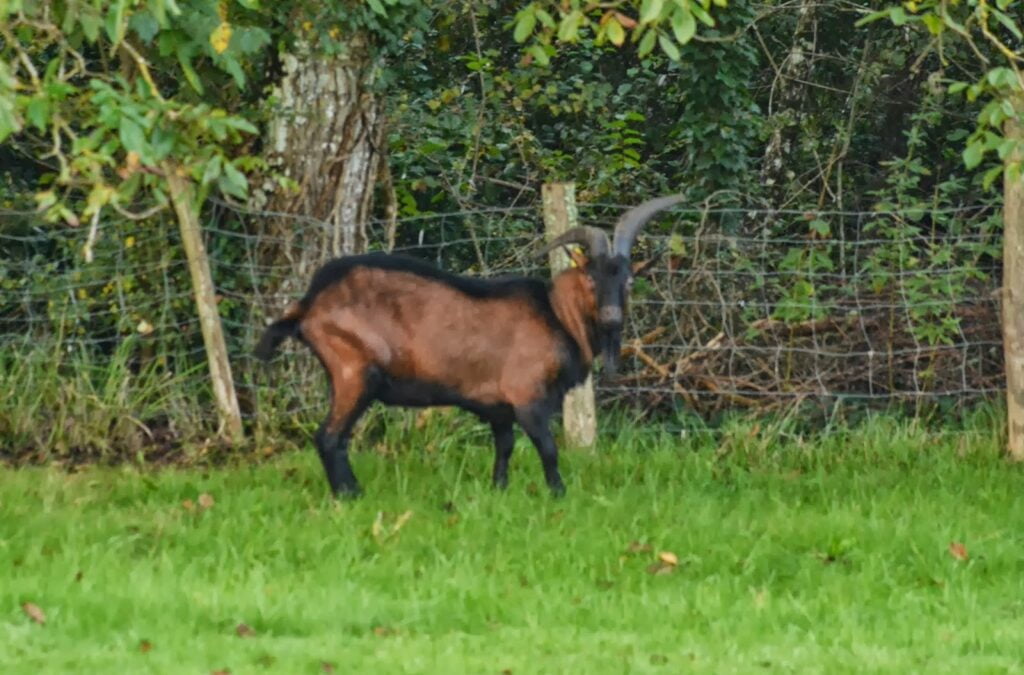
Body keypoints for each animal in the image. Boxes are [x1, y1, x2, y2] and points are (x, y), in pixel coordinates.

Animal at [254, 194, 683, 497]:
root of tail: (310, 302)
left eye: (628, 281)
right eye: (592, 279)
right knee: (329, 437)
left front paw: (499, 490)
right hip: (354, 369)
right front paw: (559, 494)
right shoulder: (527, 395)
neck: (556, 314)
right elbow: (547, 448)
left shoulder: (498, 406)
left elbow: (504, 446)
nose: (611, 318)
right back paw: (350, 495)